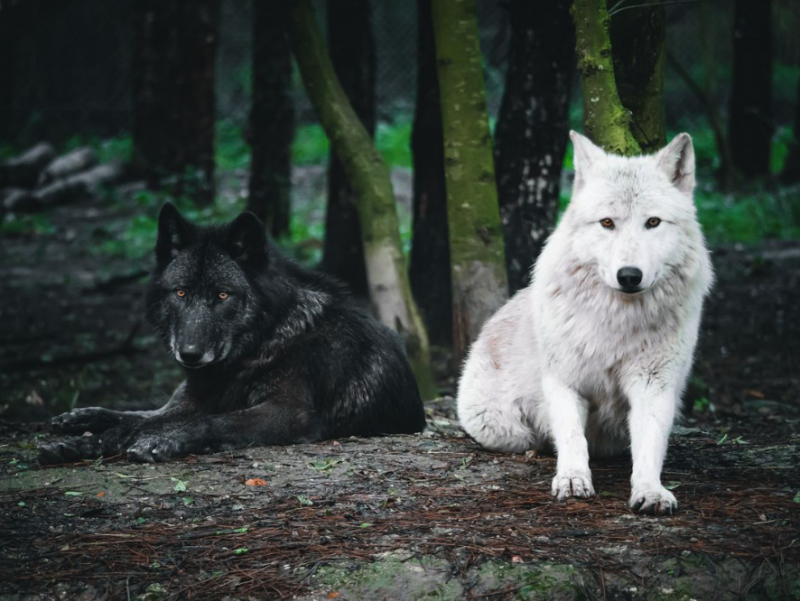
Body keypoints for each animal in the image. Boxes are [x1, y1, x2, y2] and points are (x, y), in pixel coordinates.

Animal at [39, 204, 424, 462]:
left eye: (223, 295)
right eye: (181, 293)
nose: (189, 354)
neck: (266, 340)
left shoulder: (290, 413)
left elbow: (212, 422)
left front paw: (158, 441)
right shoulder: (190, 401)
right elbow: (135, 423)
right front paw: (79, 440)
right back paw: (80, 417)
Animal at [456, 132, 712, 516]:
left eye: (653, 222)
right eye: (607, 223)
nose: (629, 275)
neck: (617, 322)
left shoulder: (653, 384)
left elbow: (650, 447)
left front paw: (651, 491)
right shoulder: (565, 380)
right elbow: (572, 437)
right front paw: (573, 480)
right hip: (504, 428)